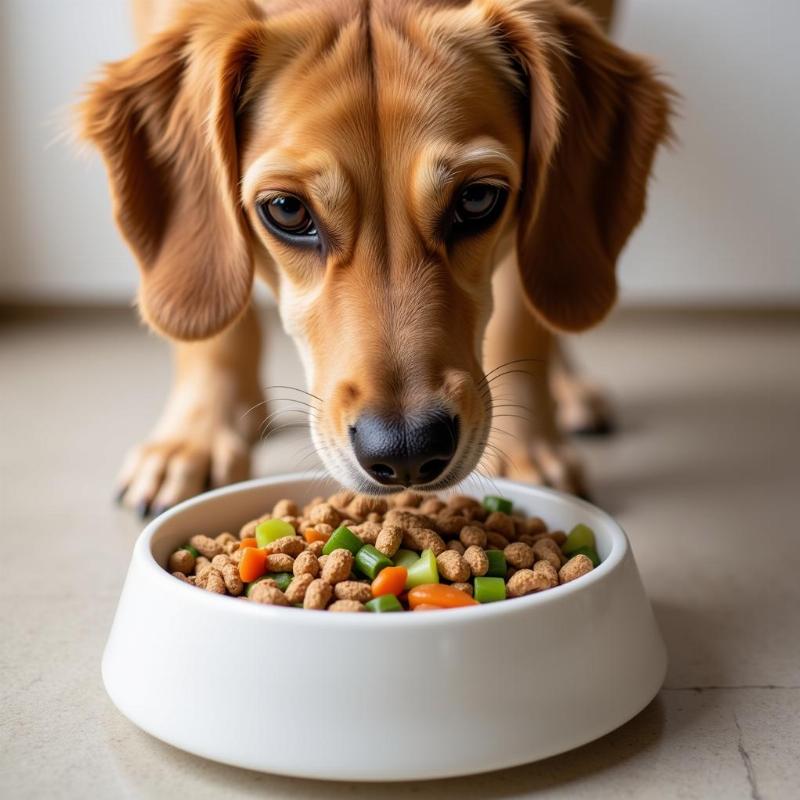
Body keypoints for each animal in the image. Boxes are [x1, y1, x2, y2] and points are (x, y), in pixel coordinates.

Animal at [79, 0, 668, 512]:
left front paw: (526, 444)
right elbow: (218, 330)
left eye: (478, 198)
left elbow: (523, 318)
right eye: (287, 210)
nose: (407, 451)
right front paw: (195, 441)